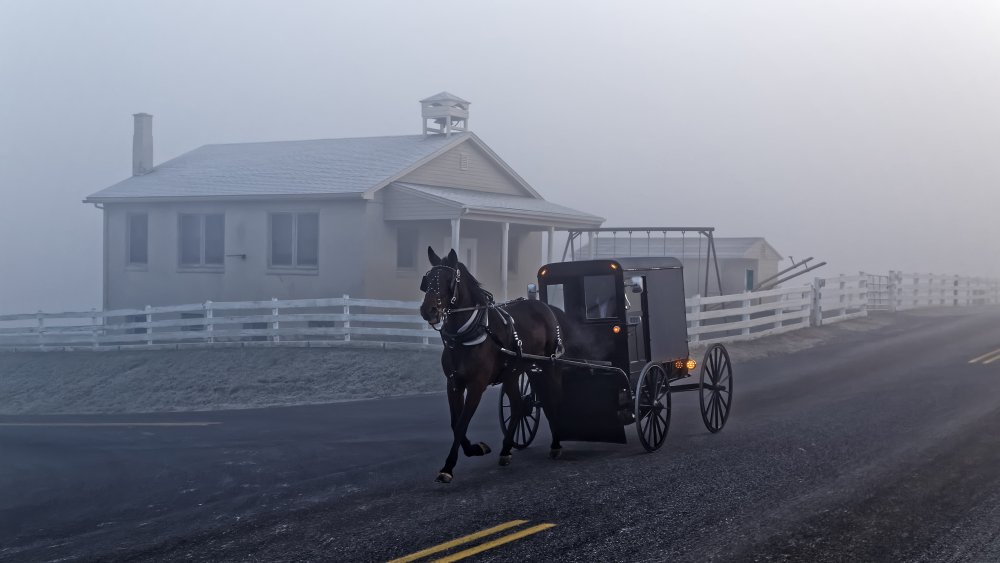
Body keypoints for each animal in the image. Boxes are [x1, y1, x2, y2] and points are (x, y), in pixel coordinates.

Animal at [420, 248, 568, 484]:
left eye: (447, 280)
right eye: (428, 279)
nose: (429, 310)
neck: (467, 334)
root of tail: (544, 306)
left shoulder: (477, 385)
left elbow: (462, 422)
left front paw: (448, 467)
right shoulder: (454, 384)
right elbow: (455, 423)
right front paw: (476, 449)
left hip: (548, 366)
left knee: (552, 400)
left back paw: (555, 444)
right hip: (514, 373)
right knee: (518, 406)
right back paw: (506, 450)